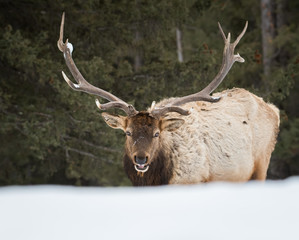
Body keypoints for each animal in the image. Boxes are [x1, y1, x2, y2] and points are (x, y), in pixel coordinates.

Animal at [57, 12, 280, 186]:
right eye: (128, 132)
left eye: (157, 134)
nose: (140, 159)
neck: (160, 178)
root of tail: (274, 109)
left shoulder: (193, 181)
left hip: (262, 164)